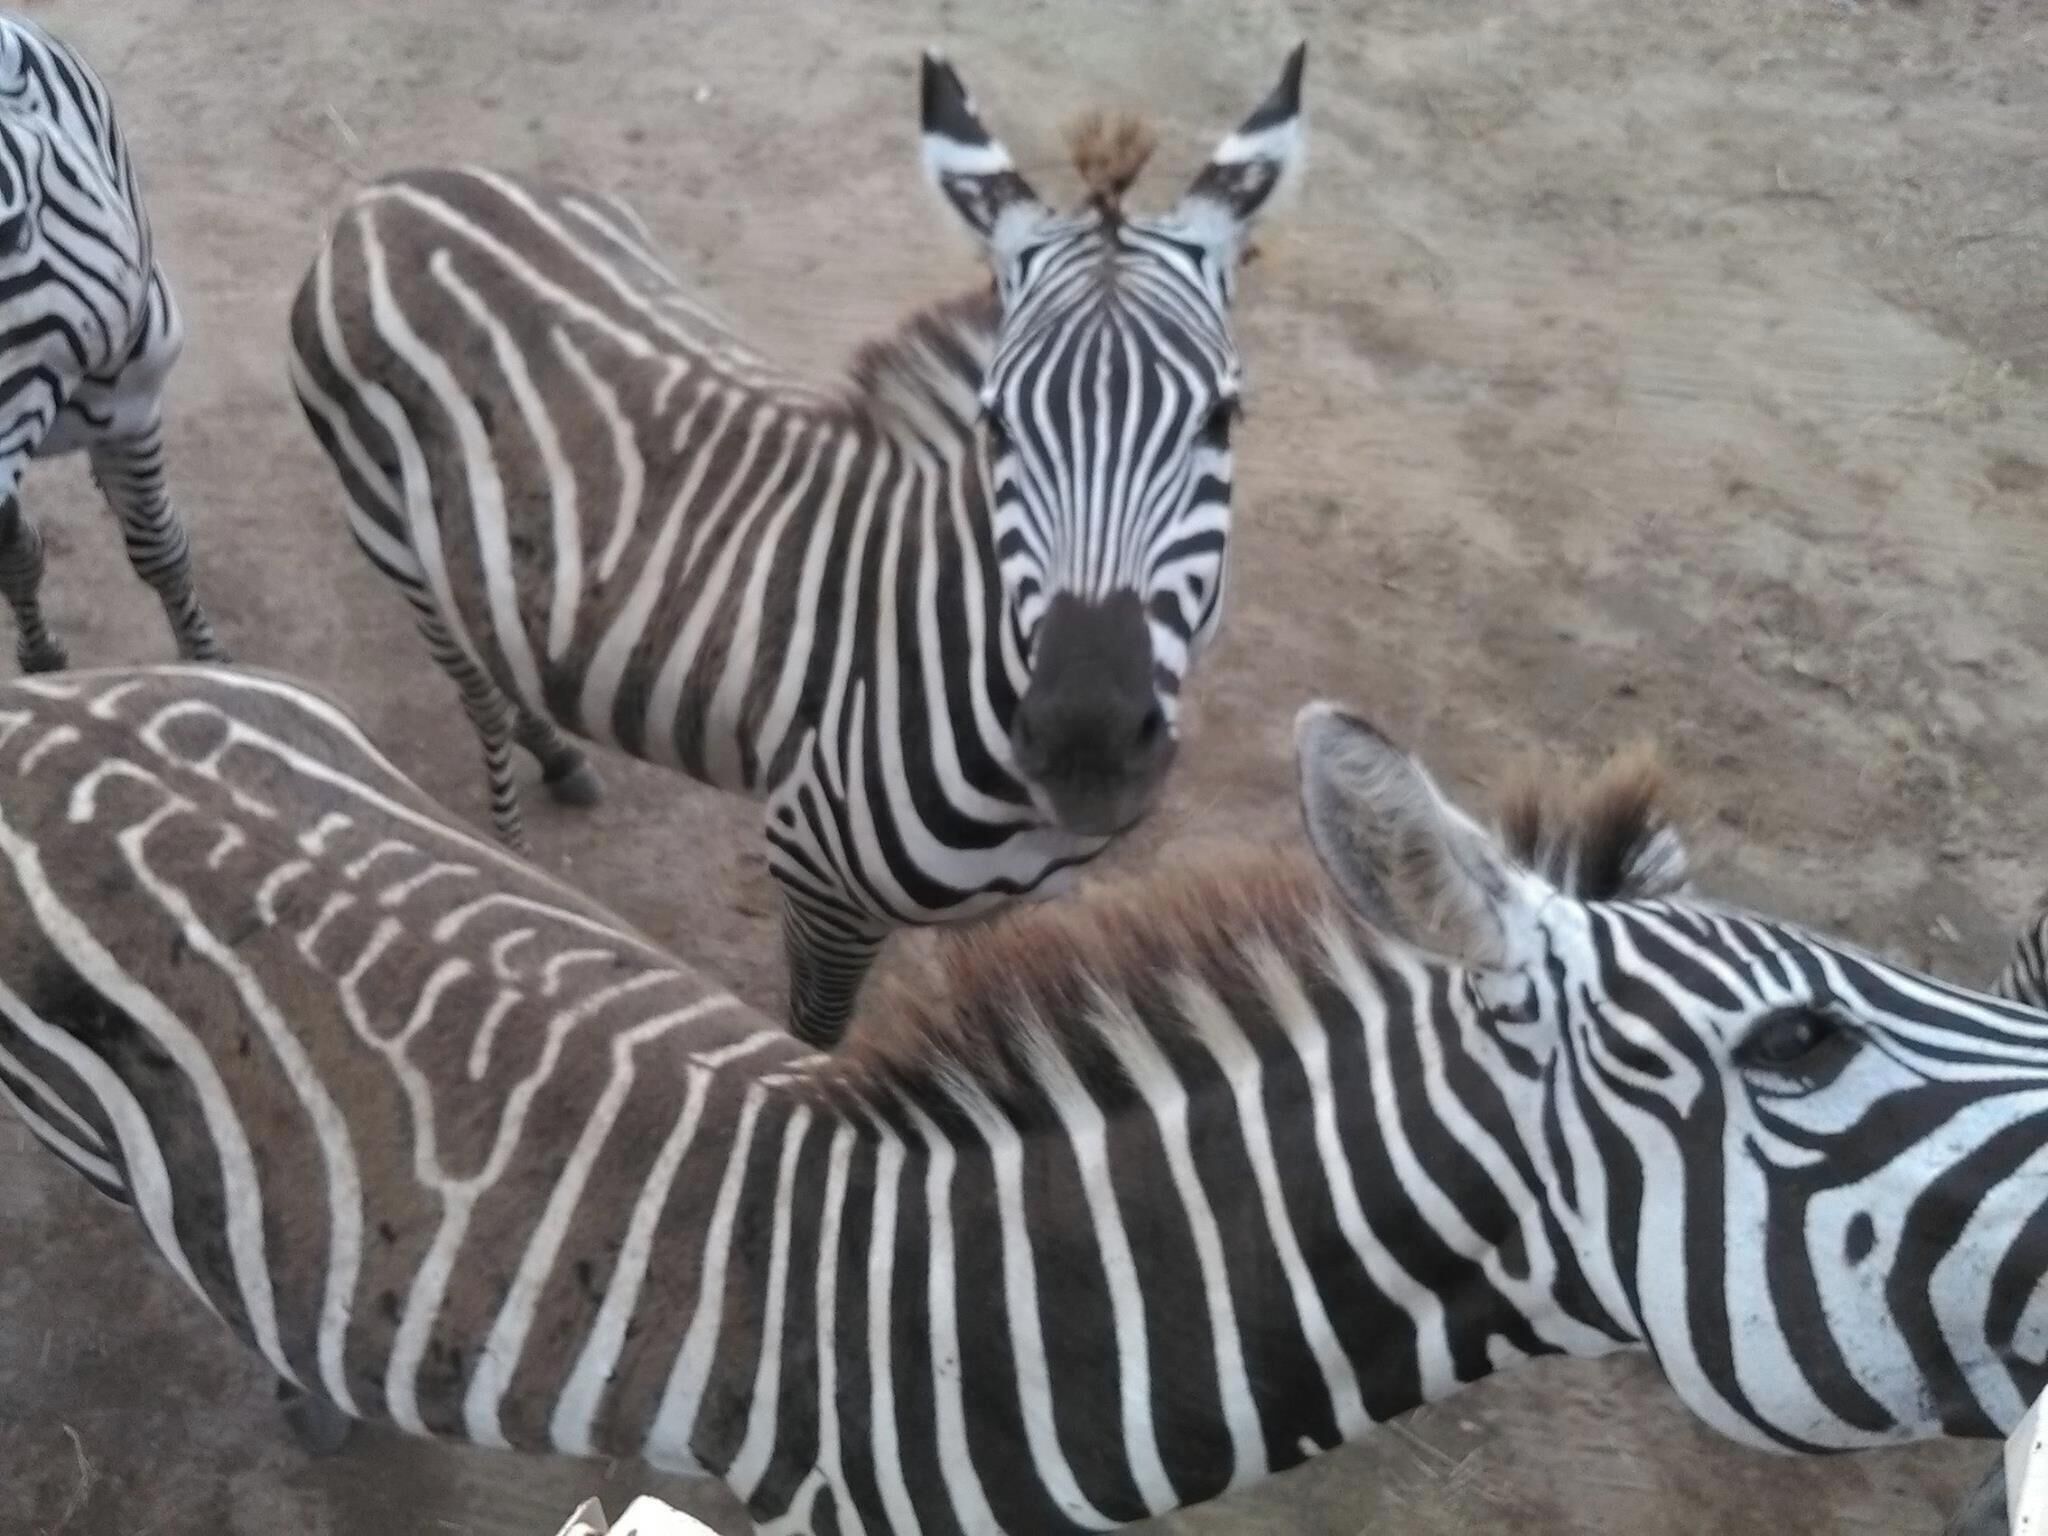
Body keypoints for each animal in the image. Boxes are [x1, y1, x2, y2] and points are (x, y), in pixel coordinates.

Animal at [0, 14, 226, 674]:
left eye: (9, 230)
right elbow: (17, 555)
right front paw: (42, 658)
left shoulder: (132, 407)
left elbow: (160, 550)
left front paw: (208, 663)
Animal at [285, 50, 1308, 1046]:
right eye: (997, 425)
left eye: (1222, 417)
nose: (1083, 742)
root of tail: (390, 192)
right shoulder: (818, 888)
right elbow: (815, 1042)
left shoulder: (1017, 904)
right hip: (390, 532)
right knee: (474, 685)